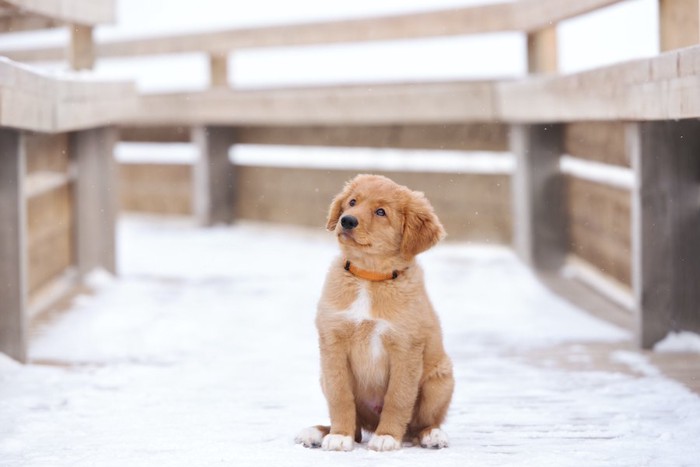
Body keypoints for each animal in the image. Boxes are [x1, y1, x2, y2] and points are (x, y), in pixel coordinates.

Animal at [294, 174, 454, 452]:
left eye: (381, 212)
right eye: (352, 202)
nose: (347, 220)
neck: (369, 278)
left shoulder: (405, 348)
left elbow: (398, 397)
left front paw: (387, 436)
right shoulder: (333, 343)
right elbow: (341, 396)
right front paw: (340, 435)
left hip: (441, 379)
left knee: (421, 423)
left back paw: (431, 435)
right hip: (323, 377)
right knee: (358, 429)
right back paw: (318, 432)